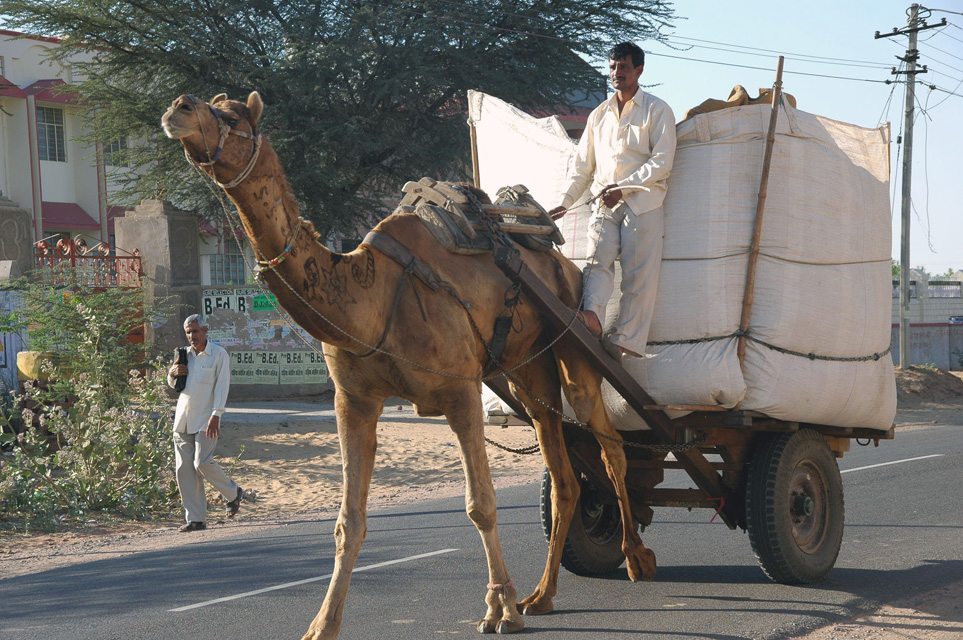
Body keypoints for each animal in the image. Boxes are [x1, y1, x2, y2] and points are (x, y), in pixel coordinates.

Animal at [164, 91, 656, 640]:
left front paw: (499, 610)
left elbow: (481, 506)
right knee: (563, 471)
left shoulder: (460, 390)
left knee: (610, 447)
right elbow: (349, 521)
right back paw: (542, 595)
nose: (178, 108)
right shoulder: (354, 400)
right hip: (527, 372)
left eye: (230, 116)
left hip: (574, 337)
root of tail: (566, 263)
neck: (373, 296)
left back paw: (635, 558)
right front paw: (322, 624)